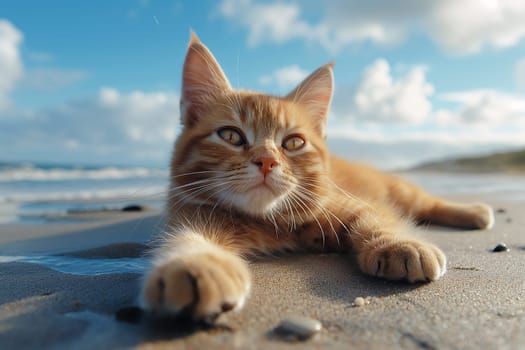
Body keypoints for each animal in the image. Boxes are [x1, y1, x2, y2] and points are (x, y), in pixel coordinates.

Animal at [139, 34, 492, 324]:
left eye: (293, 143)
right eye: (230, 135)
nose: (267, 161)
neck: (269, 220)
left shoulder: (349, 203)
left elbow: (375, 219)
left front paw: (400, 243)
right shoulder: (194, 213)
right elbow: (189, 238)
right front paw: (196, 265)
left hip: (403, 191)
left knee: (429, 203)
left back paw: (474, 212)